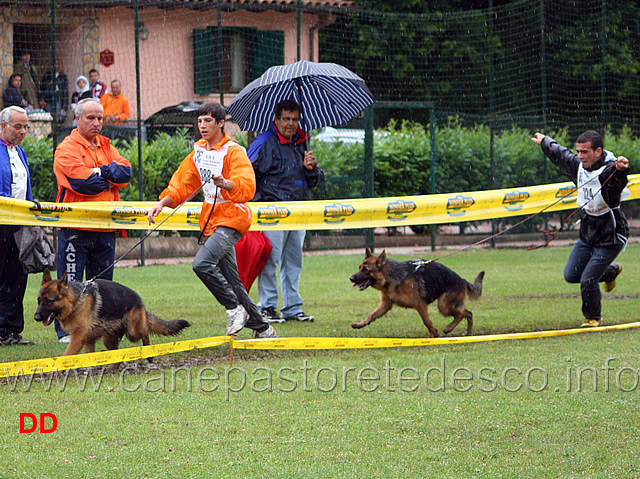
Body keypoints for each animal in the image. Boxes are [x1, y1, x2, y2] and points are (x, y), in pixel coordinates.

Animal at [34, 270, 190, 356]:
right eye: (39, 300)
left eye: (48, 301)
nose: (36, 317)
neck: (76, 300)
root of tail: (140, 301)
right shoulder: (88, 339)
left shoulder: (78, 338)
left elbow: (67, 355)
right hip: (108, 339)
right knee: (115, 352)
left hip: (133, 331)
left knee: (145, 332)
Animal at [350, 249, 484, 340]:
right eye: (359, 267)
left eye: (366, 270)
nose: (351, 278)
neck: (390, 277)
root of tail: (461, 279)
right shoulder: (385, 305)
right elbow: (371, 315)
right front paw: (360, 324)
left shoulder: (419, 304)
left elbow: (426, 321)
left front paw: (433, 334)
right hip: (449, 305)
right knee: (468, 313)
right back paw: (468, 332)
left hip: (443, 305)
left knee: (461, 314)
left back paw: (449, 328)